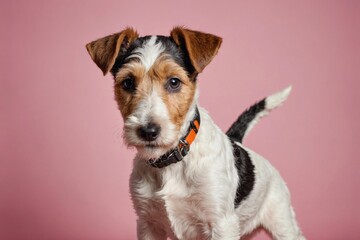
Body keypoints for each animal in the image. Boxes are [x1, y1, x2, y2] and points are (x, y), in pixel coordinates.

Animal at [86, 26, 306, 240]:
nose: (148, 131)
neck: (172, 160)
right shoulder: (148, 223)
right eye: (128, 83)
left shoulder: (221, 223)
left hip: (282, 222)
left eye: (174, 82)